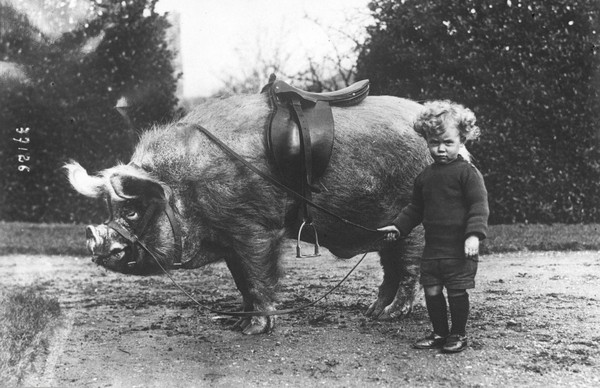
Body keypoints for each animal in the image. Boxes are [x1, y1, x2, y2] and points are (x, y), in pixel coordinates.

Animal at [65, 90, 432, 334]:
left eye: (132, 212)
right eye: (111, 209)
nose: (92, 235)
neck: (189, 185)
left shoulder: (254, 226)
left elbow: (257, 277)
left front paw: (254, 330)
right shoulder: (229, 238)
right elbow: (241, 280)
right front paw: (235, 321)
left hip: (412, 223)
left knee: (408, 268)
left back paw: (391, 315)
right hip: (386, 228)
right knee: (390, 269)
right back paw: (372, 312)